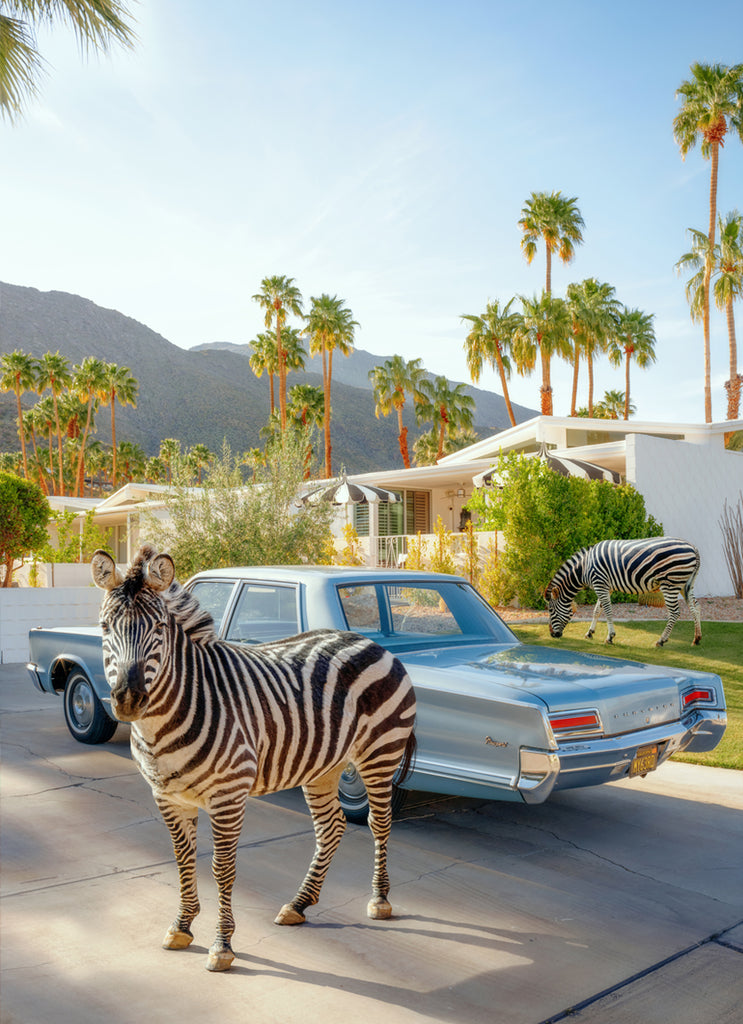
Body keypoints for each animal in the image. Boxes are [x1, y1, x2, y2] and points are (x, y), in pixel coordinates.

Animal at [91, 545, 416, 973]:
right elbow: (183, 860)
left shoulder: (228, 796)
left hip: (380, 752)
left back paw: (379, 899)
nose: (128, 700)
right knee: (332, 827)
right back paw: (299, 904)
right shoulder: (168, 798)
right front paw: (182, 926)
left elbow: (222, 868)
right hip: (323, 765)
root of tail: (367, 640)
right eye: (104, 628)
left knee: (380, 824)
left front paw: (222, 945)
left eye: (158, 628)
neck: (161, 725)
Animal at [545, 537, 702, 647]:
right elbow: (597, 611)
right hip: (686, 584)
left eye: (550, 610)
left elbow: (607, 611)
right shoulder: (605, 587)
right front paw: (589, 633)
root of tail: (693, 547)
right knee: (695, 607)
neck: (584, 568)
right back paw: (697, 638)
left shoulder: (600, 585)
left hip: (670, 583)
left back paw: (661, 640)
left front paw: (610, 637)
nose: (552, 634)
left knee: (675, 612)